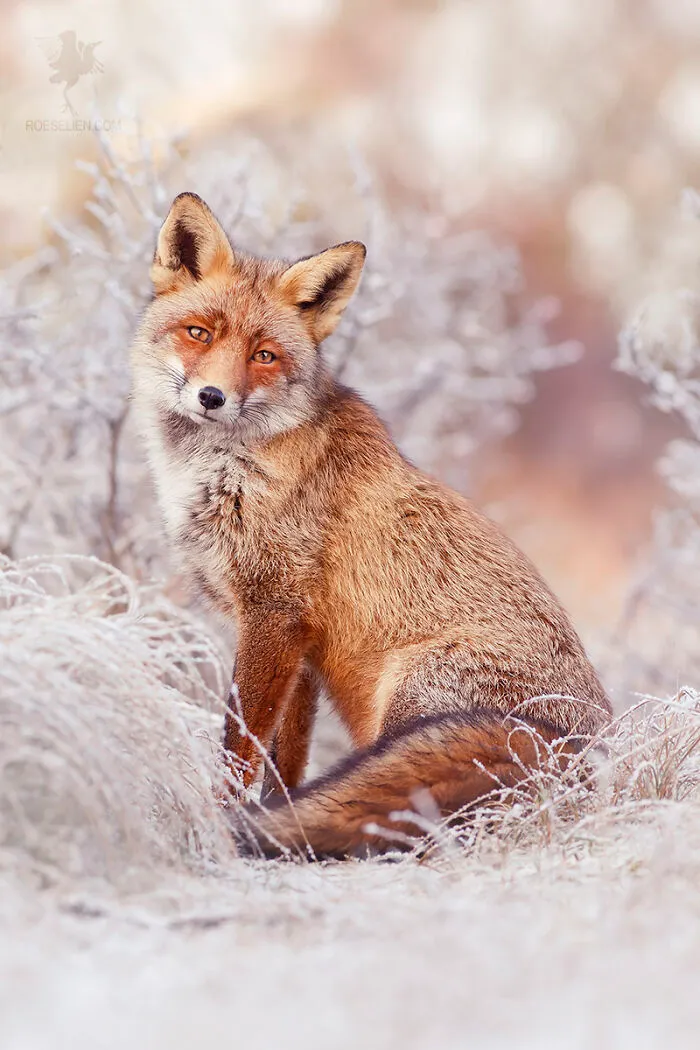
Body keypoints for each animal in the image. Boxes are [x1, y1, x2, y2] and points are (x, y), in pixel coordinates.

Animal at [130, 191, 612, 859]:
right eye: (198, 332)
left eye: (263, 355)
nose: (211, 397)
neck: (228, 472)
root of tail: (588, 758)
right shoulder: (301, 647)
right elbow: (285, 762)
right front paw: (277, 816)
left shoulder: (274, 613)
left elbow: (239, 749)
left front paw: (224, 822)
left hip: (410, 693)